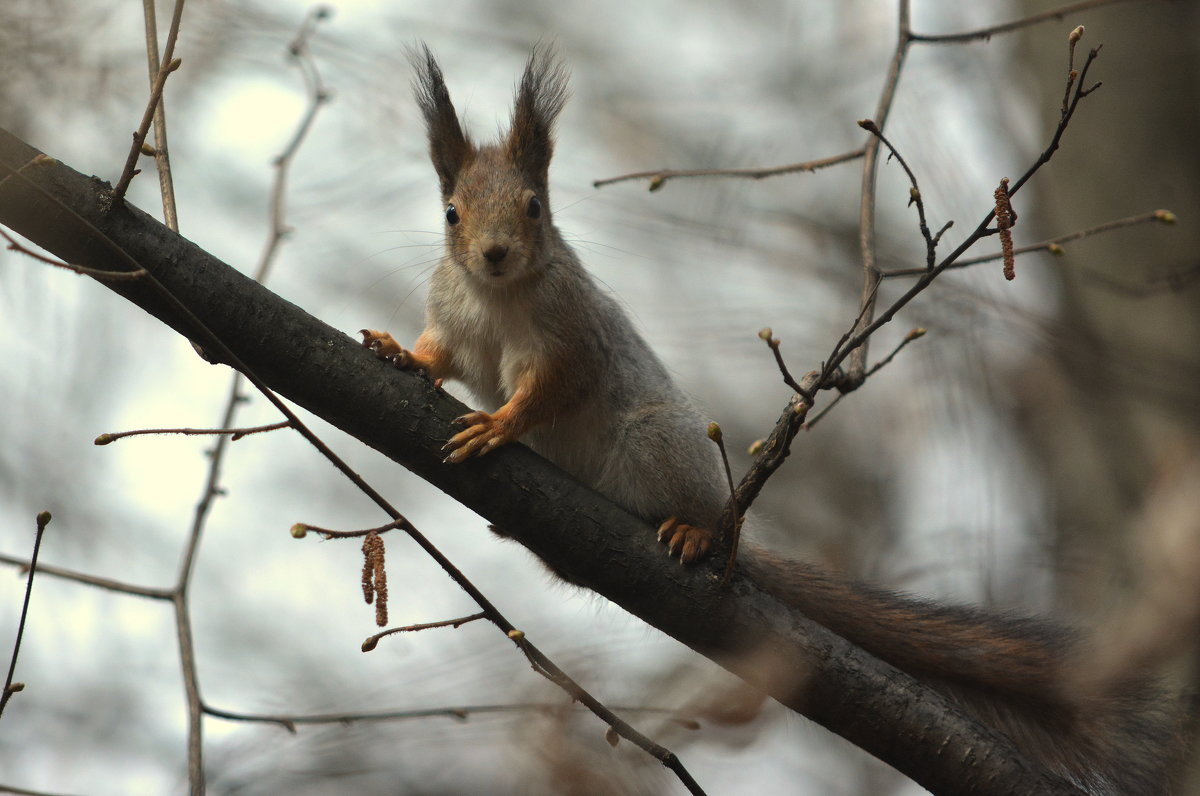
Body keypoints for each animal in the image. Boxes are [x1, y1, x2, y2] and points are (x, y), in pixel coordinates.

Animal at [360, 45, 1176, 796]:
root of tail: (730, 520)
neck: (498, 295)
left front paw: (500, 423)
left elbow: (548, 390)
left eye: (534, 206)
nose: (495, 253)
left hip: (656, 442)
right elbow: (443, 353)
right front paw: (400, 352)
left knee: (690, 506)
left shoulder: (571, 337)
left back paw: (693, 532)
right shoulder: (459, 319)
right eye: (451, 213)